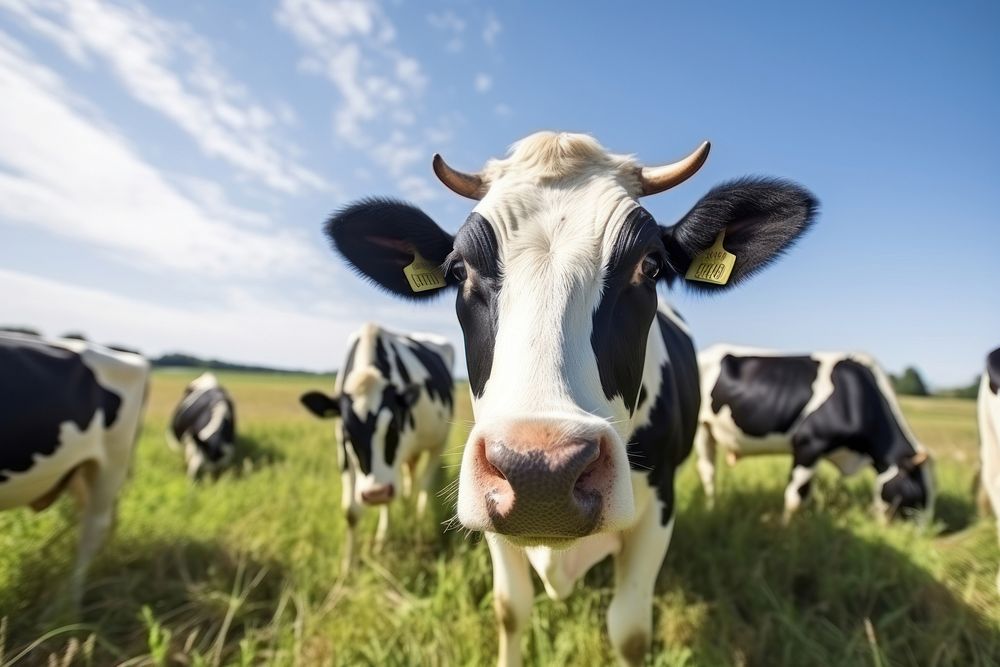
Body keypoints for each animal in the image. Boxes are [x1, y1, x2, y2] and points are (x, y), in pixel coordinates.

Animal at [296, 324, 454, 576]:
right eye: (347, 433)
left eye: (394, 426)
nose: (375, 493)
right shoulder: (344, 454)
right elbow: (351, 511)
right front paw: (347, 568)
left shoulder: (395, 461)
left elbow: (391, 497)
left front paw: (381, 543)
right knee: (410, 478)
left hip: (438, 443)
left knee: (424, 485)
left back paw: (418, 519)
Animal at [320, 133, 820, 664]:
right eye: (459, 270)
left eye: (650, 266)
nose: (540, 473)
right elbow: (510, 610)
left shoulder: (657, 509)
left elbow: (630, 631)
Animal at [700, 348, 932, 524]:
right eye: (919, 492)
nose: (927, 531)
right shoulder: (808, 444)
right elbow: (794, 498)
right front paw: (787, 532)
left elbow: (806, 494)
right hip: (702, 427)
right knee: (708, 472)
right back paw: (711, 509)